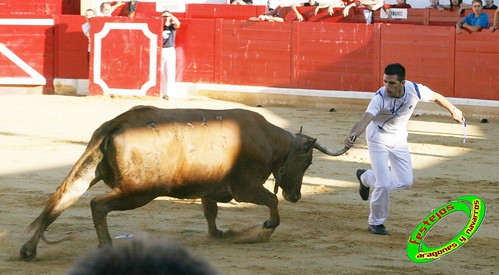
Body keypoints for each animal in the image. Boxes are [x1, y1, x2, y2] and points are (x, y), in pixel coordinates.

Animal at [19, 106, 348, 262]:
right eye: (308, 163)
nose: (296, 196)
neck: (270, 141)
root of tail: (117, 123)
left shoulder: (212, 188)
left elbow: (210, 212)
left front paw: (219, 234)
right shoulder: (246, 188)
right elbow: (271, 201)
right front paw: (264, 230)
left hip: (92, 172)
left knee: (60, 201)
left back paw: (28, 250)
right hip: (140, 191)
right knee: (97, 205)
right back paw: (107, 246)